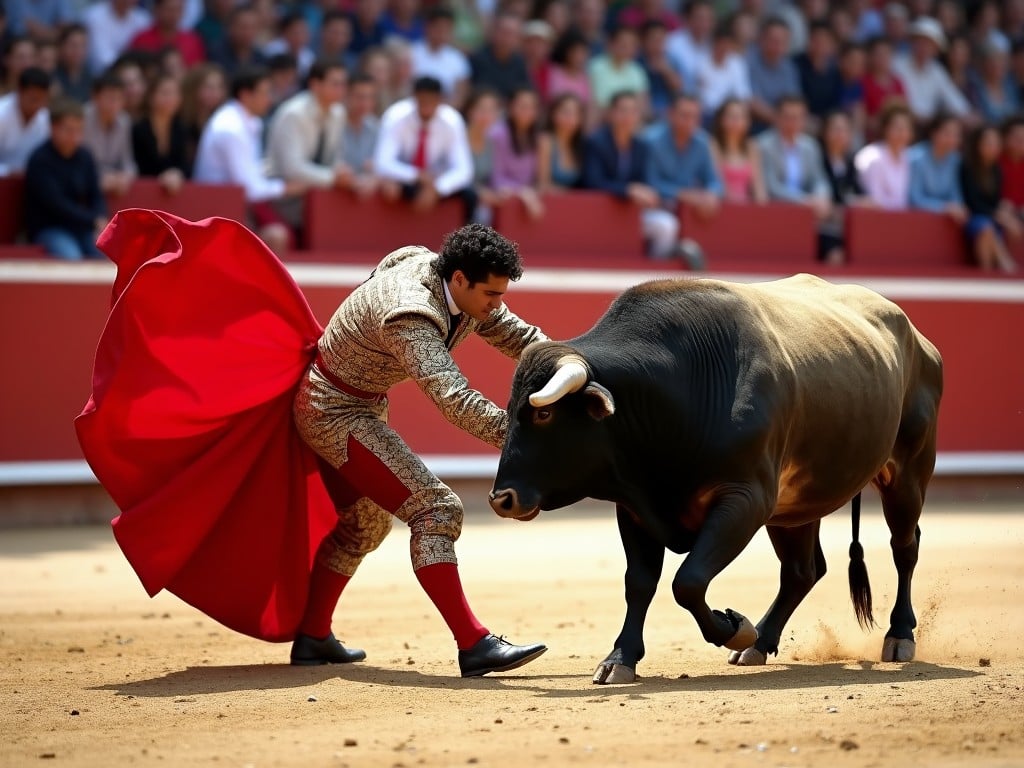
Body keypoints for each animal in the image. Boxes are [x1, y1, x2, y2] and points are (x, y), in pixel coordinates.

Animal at [487, 274, 942, 684]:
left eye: (545, 413)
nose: (501, 499)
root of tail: (918, 339)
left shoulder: (744, 499)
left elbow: (687, 581)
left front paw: (734, 628)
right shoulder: (634, 509)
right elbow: (640, 583)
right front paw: (621, 658)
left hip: (908, 473)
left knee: (904, 547)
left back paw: (899, 635)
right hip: (796, 504)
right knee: (801, 571)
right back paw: (761, 643)